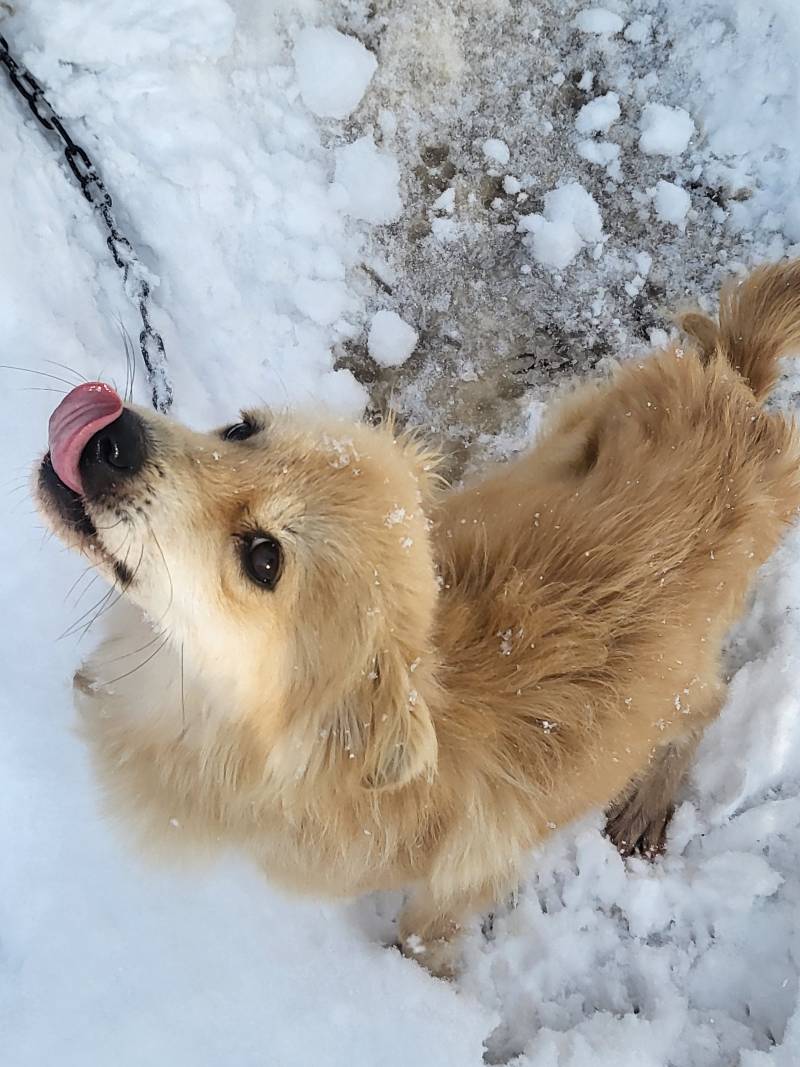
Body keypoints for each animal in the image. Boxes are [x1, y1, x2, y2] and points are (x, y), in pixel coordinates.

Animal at [37, 258, 800, 977]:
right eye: (240, 428)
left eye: (263, 558)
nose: (113, 435)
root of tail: (737, 394)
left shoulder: (472, 867)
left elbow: (426, 928)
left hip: (681, 681)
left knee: (709, 703)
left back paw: (650, 798)